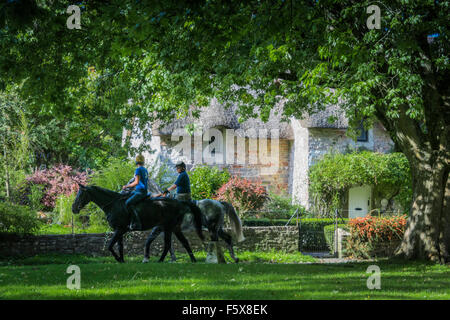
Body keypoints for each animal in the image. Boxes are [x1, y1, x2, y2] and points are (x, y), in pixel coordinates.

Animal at [71, 185, 204, 262]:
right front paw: (122, 260)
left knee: (168, 245)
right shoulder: (119, 230)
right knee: (184, 242)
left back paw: (160, 261)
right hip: (174, 228)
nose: (73, 208)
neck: (113, 204)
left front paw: (118, 259)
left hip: (168, 228)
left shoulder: (120, 229)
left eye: (81, 193)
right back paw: (193, 260)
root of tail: (179, 203)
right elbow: (119, 246)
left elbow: (110, 245)